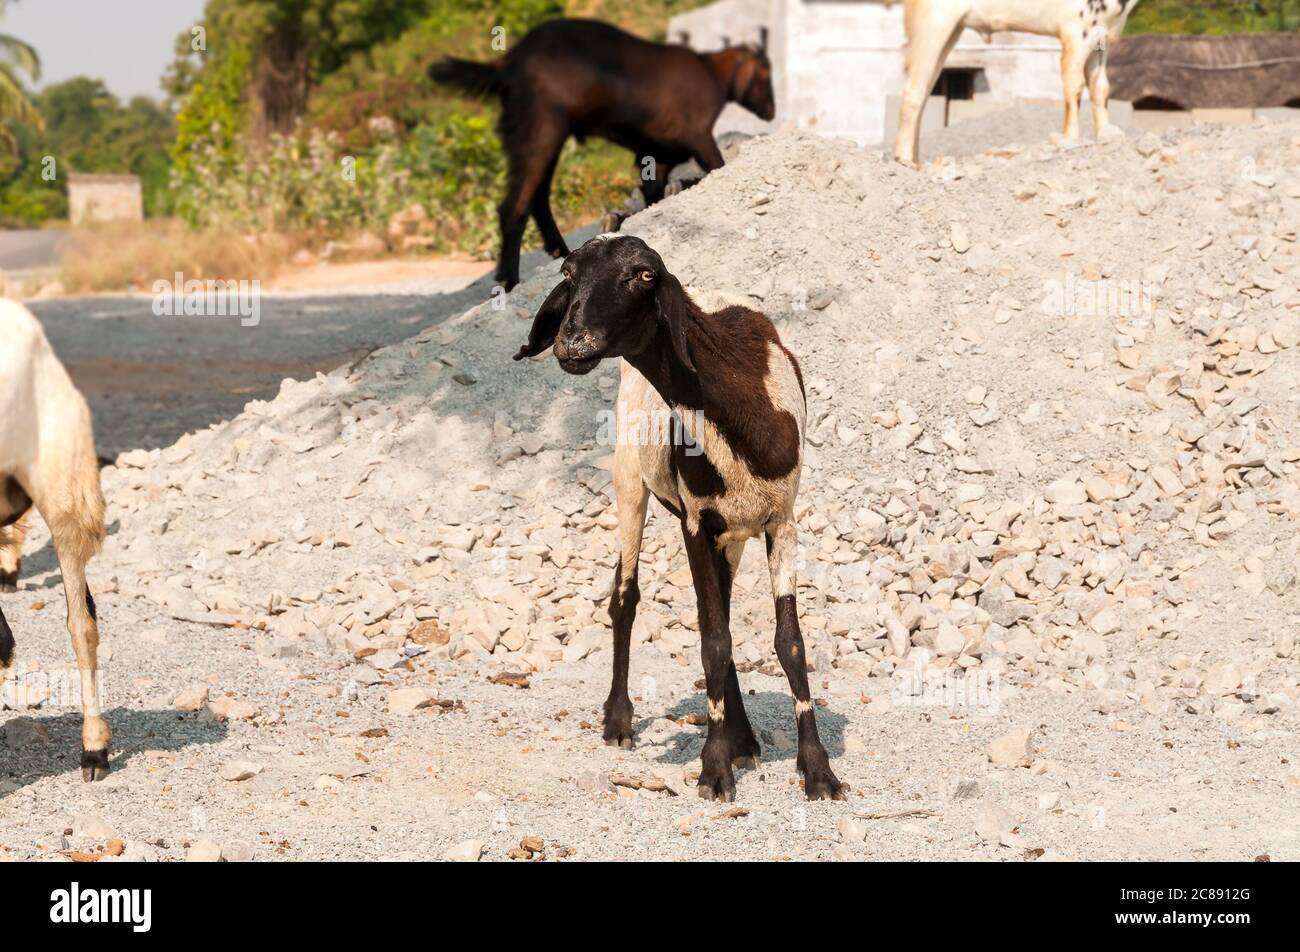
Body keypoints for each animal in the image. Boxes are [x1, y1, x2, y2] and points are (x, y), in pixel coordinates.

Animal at [428, 18, 769, 291]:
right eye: (765, 72)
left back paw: (560, 251)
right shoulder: (699, 138)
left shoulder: (655, 157)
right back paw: (508, 280)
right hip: (541, 132)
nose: (770, 110)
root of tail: (508, 63)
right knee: (515, 205)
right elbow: (715, 167)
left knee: (538, 197)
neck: (711, 72)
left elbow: (655, 196)